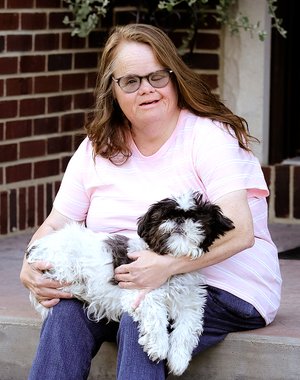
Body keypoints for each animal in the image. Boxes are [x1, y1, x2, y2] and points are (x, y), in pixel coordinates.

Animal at [26, 191, 234, 376]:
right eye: (165, 216)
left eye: (195, 217)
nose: (179, 220)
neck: (170, 264)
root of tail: (37, 246)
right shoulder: (140, 294)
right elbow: (156, 317)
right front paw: (159, 346)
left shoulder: (189, 305)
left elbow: (186, 330)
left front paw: (179, 360)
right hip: (63, 265)